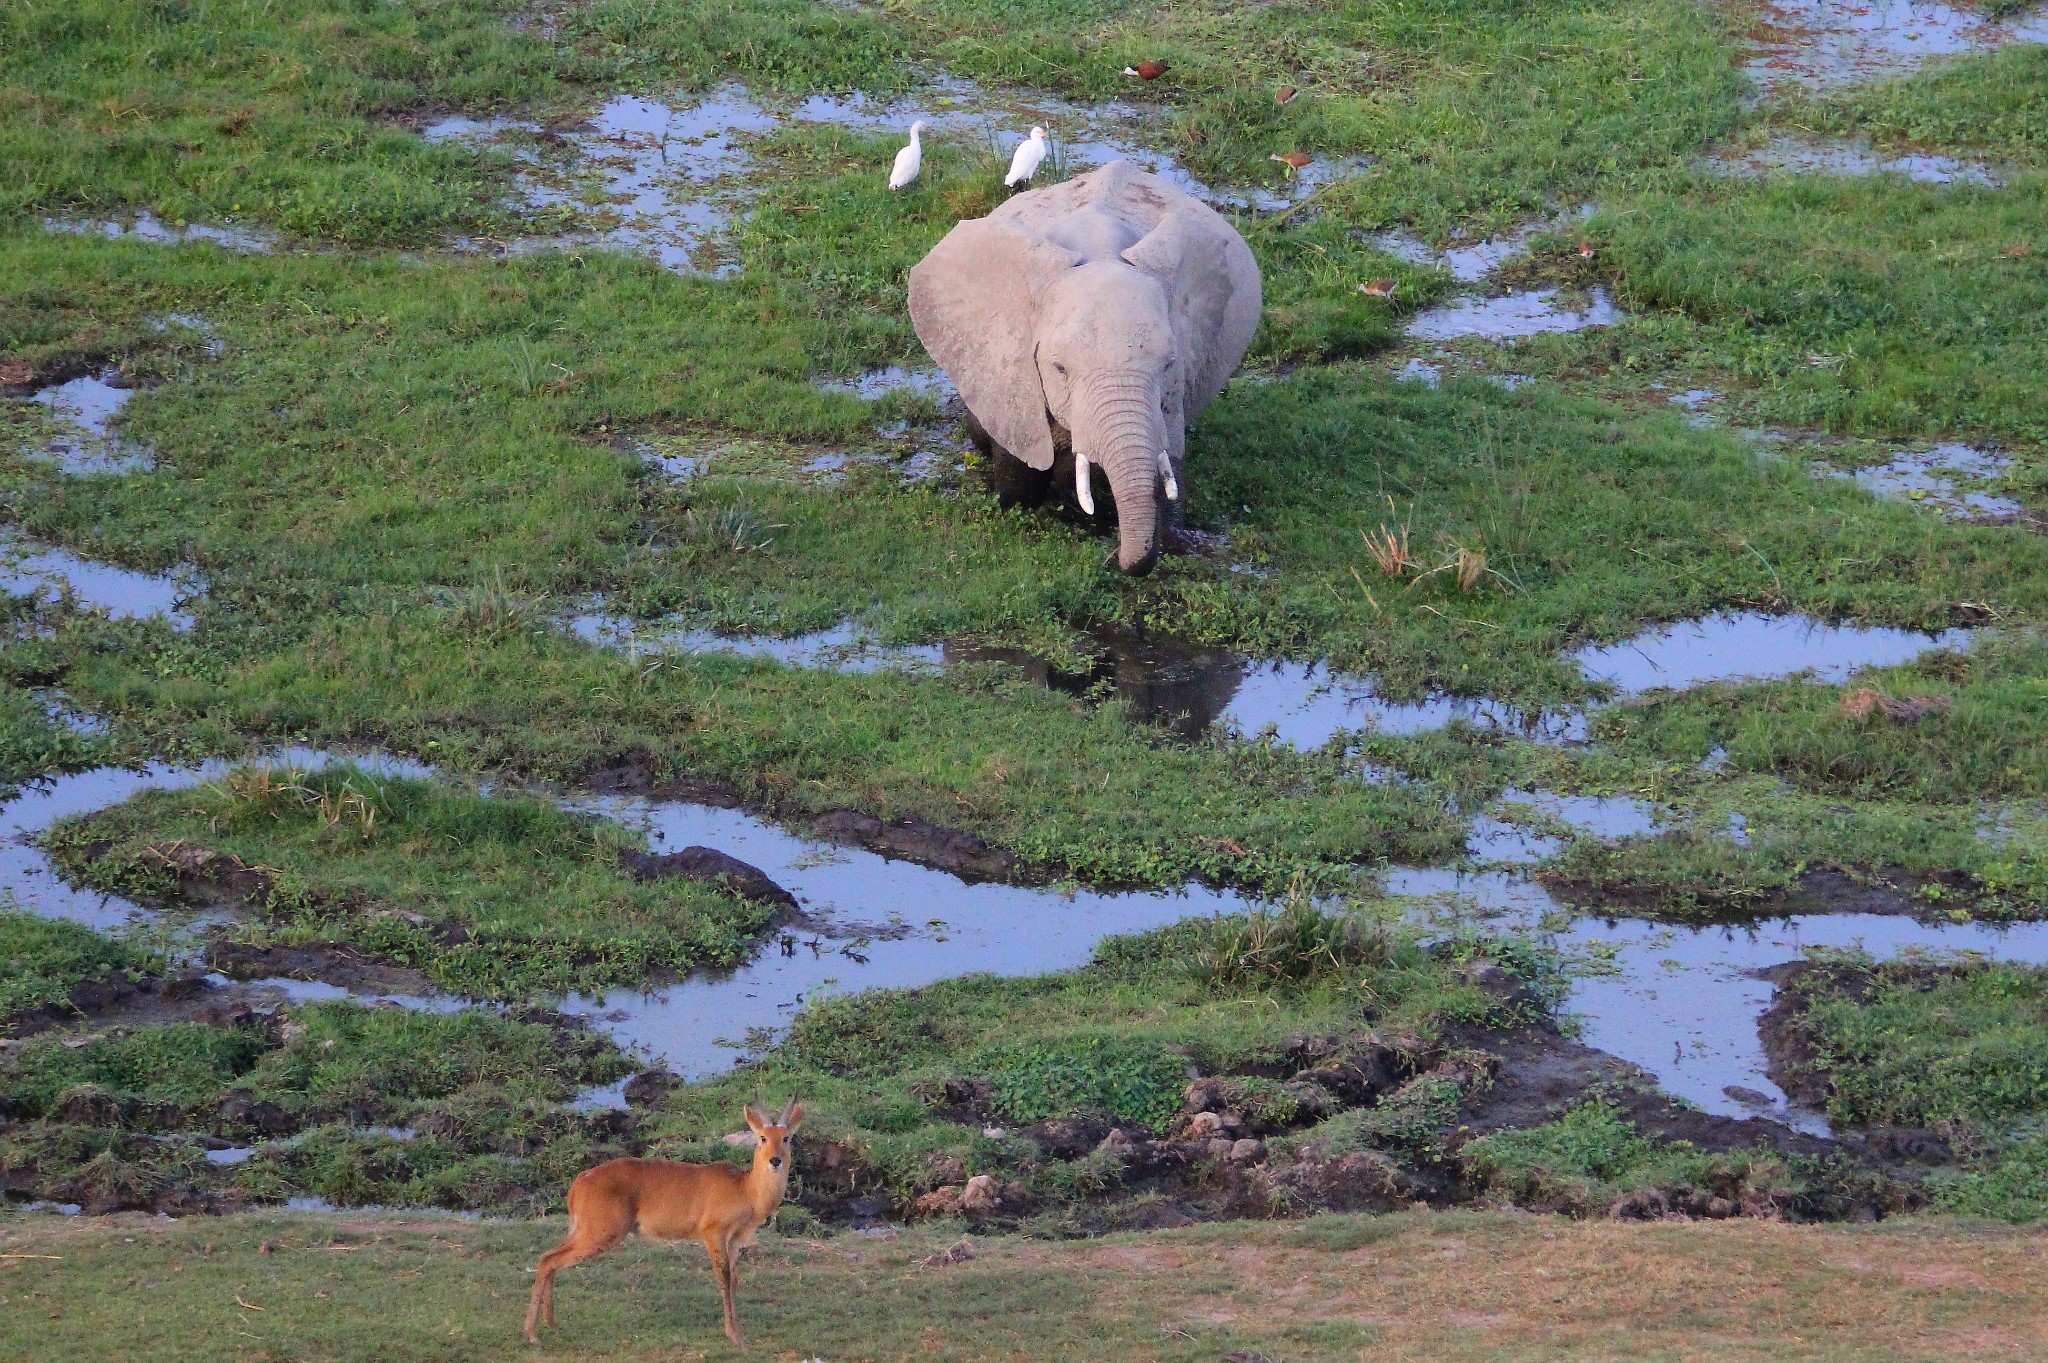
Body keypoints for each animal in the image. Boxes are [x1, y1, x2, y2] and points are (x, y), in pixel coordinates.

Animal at [524, 1096, 802, 1342]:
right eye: (762, 1137)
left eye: (786, 1138)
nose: (775, 1160)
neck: (745, 1188)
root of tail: (580, 1181)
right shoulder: (713, 1234)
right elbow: (723, 1277)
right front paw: (734, 1337)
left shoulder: (734, 1240)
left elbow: (734, 1280)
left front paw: (739, 1333)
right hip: (600, 1234)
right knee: (549, 1259)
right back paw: (533, 1333)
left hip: (582, 1231)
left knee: (548, 1257)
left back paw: (551, 1325)